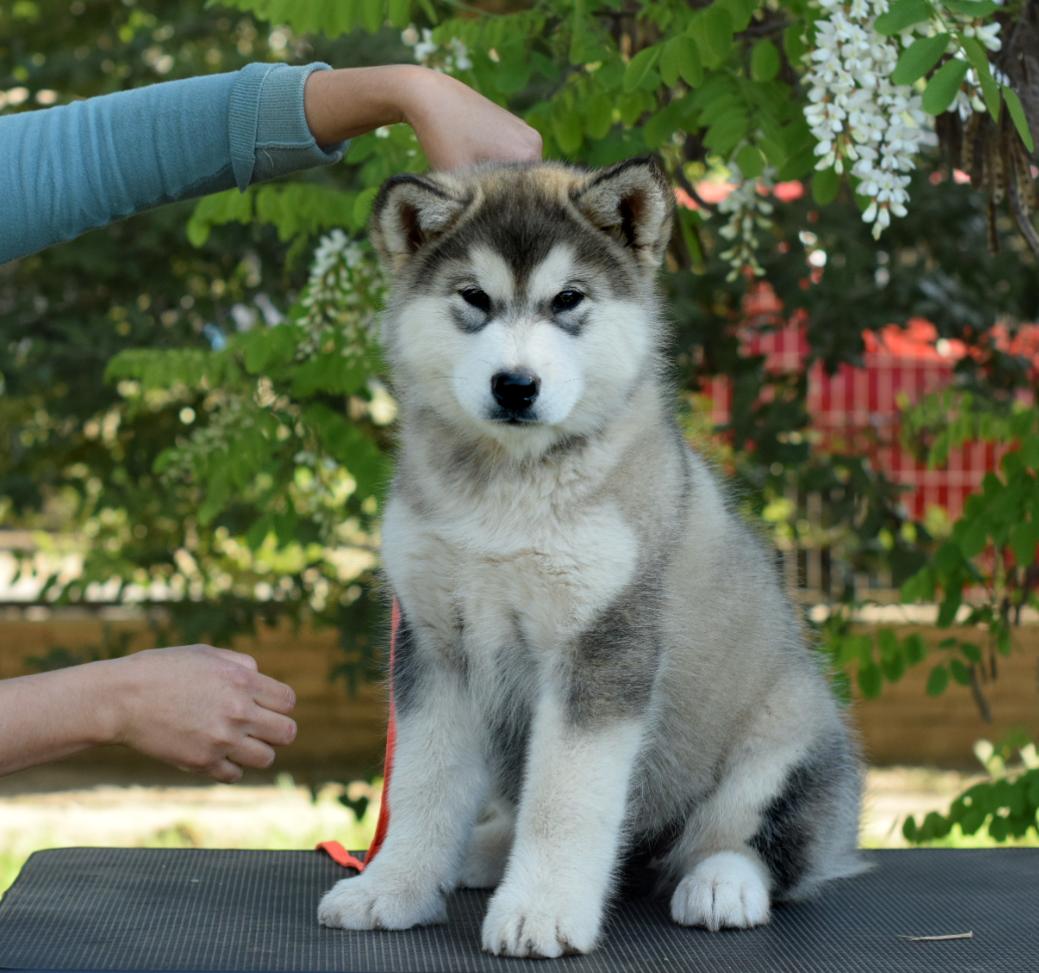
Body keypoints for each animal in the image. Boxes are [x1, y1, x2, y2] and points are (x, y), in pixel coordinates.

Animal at [315, 160, 860, 956]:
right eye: (474, 298)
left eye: (567, 299)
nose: (515, 385)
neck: (506, 491)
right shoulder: (434, 644)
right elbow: (422, 782)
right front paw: (393, 886)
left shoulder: (603, 642)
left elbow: (565, 797)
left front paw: (540, 911)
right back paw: (483, 850)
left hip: (786, 730)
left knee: (755, 844)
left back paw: (721, 882)